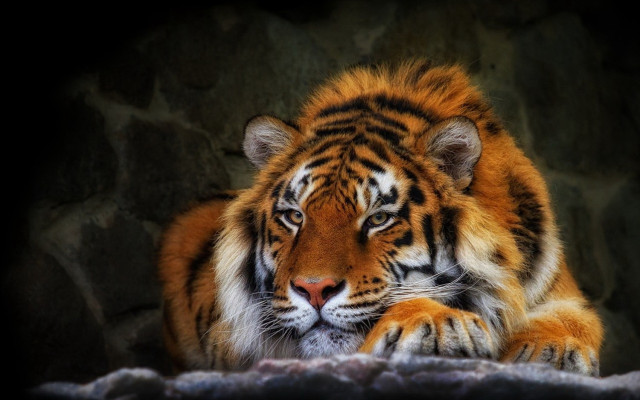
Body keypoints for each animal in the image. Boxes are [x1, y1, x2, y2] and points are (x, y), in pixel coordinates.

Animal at [158, 59, 603, 376]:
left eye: (378, 219)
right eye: (295, 216)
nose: (313, 290)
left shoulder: (559, 291)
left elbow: (574, 320)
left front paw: (550, 350)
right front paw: (438, 323)